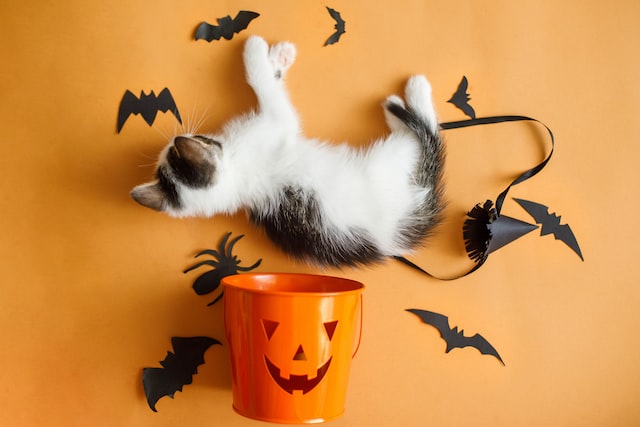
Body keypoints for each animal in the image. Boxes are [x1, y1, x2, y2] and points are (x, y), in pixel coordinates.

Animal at [131, 37, 444, 270]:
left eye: (199, 137)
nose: (181, 135)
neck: (235, 175)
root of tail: (398, 233)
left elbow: (273, 82)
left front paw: (278, 58)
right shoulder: (276, 123)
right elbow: (264, 86)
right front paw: (255, 51)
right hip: (390, 162)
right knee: (422, 135)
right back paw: (413, 95)